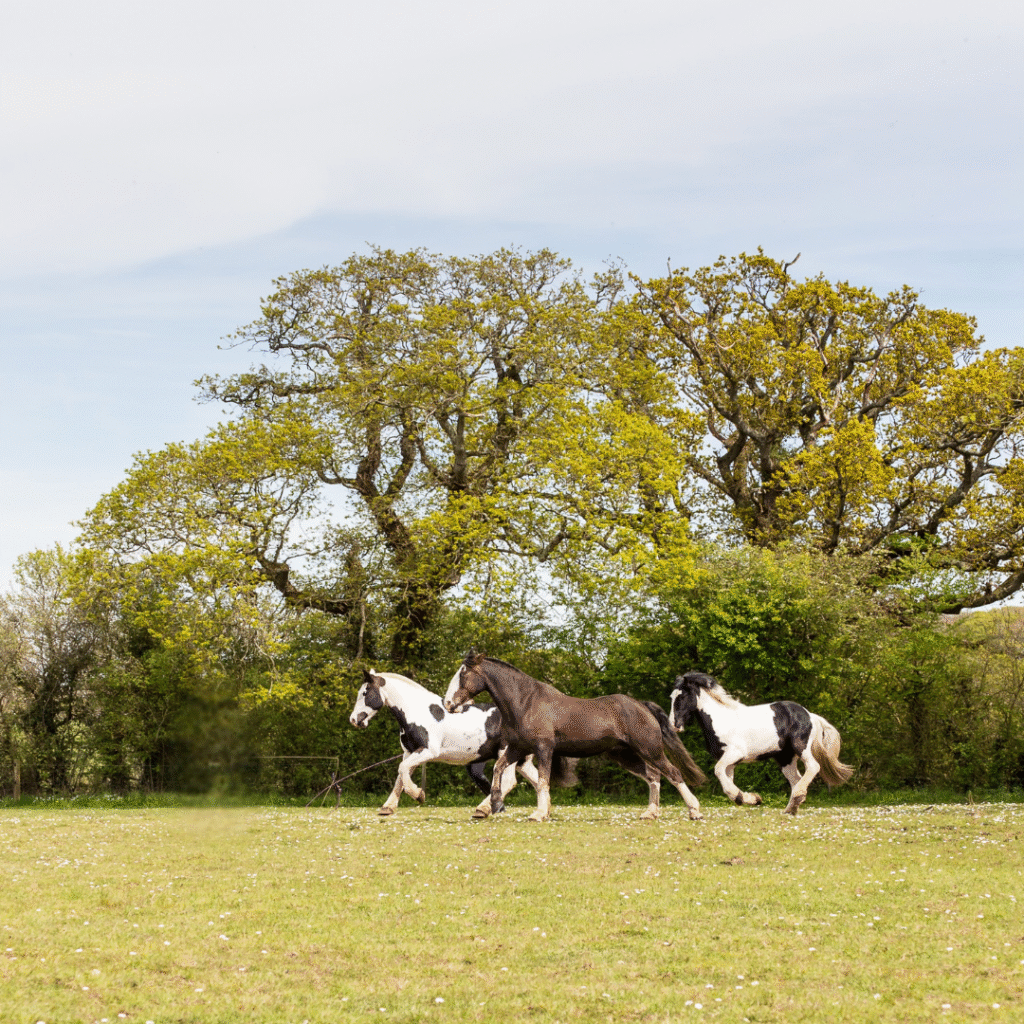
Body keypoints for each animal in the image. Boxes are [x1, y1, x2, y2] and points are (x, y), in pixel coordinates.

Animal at [350, 669, 540, 816]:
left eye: (365, 693)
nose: (354, 720)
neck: (417, 712)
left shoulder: (428, 751)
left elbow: (402, 770)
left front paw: (419, 795)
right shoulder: (409, 752)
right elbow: (400, 777)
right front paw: (388, 807)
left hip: (505, 754)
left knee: (508, 781)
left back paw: (483, 809)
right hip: (521, 761)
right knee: (538, 781)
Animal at [444, 652, 706, 822]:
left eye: (464, 673)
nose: (448, 703)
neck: (525, 702)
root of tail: (642, 705)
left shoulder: (543, 748)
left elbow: (543, 780)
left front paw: (539, 814)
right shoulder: (518, 748)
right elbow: (498, 768)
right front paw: (495, 803)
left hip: (650, 749)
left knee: (673, 773)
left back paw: (694, 811)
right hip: (626, 755)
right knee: (653, 776)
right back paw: (651, 813)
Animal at [669, 671, 853, 815]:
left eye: (682, 696)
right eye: (671, 697)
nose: (674, 725)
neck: (720, 720)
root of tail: (811, 716)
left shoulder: (733, 754)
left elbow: (719, 773)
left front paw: (752, 799)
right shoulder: (729, 762)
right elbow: (727, 784)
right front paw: (750, 798)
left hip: (801, 748)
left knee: (813, 767)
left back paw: (796, 799)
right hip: (785, 758)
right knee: (796, 779)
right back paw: (791, 808)